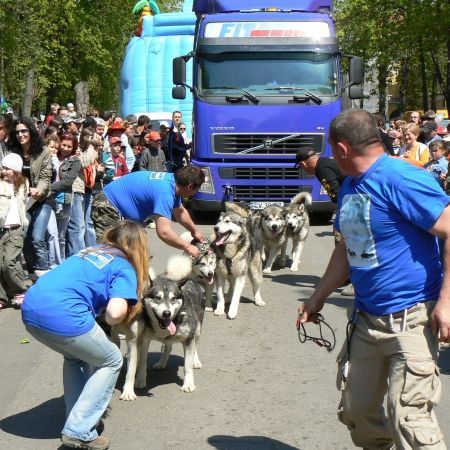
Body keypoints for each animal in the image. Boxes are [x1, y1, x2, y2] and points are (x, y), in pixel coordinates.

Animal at [116, 256, 206, 400]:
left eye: (173, 298)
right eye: (157, 298)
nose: (167, 313)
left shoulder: (189, 338)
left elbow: (187, 365)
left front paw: (188, 384)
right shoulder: (145, 339)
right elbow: (142, 362)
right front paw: (140, 380)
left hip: (197, 328)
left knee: (195, 344)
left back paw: (195, 361)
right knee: (168, 346)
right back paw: (162, 362)